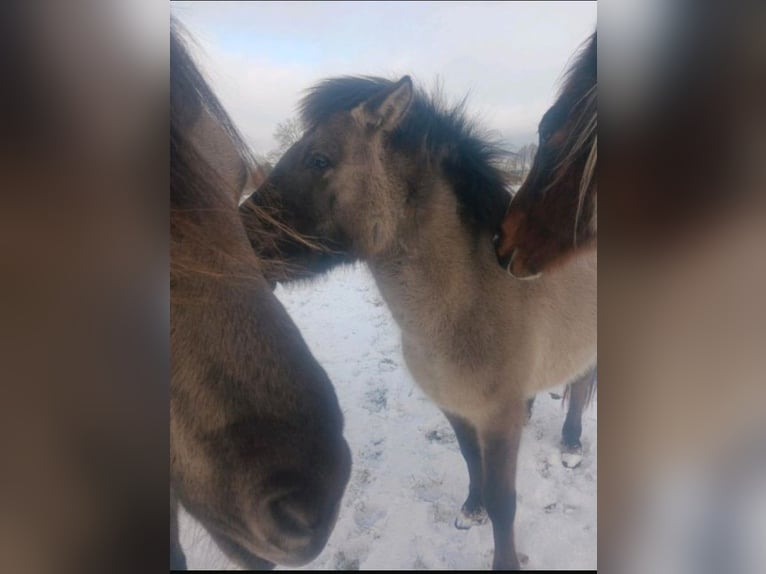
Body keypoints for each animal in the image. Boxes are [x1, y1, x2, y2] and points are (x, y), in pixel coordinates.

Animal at [242, 74, 600, 568]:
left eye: (319, 158)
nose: (239, 236)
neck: (469, 306)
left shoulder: (496, 421)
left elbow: (504, 502)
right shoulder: (456, 410)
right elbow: (471, 463)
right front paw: (471, 510)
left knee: (582, 385)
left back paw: (571, 443)